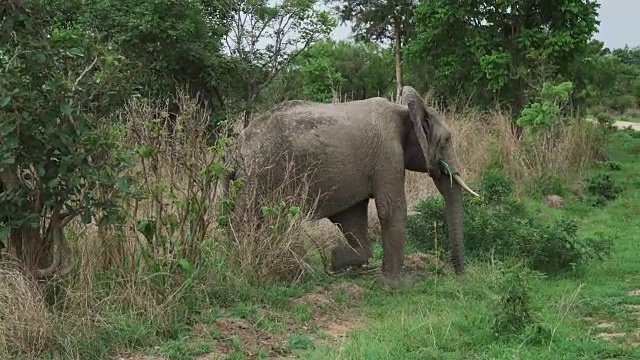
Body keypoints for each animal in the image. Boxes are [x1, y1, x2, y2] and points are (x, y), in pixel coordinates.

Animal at [222, 86, 478, 288]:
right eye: (447, 140)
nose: (458, 274)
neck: (405, 111)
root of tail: (234, 152)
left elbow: (351, 217)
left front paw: (334, 259)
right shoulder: (387, 154)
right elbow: (390, 209)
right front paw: (391, 286)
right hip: (259, 175)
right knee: (250, 218)